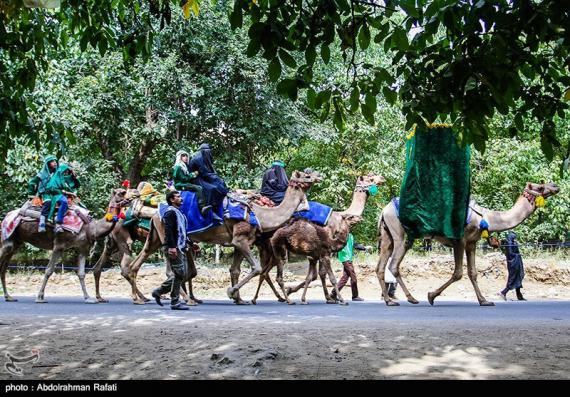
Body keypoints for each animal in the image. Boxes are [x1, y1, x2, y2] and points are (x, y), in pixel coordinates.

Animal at [0, 187, 131, 302]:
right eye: (121, 193)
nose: (131, 198)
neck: (91, 228)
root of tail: (5, 218)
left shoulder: (83, 248)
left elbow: (81, 273)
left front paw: (88, 298)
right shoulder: (59, 246)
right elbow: (49, 270)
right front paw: (40, 297)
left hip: (16, 243)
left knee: (4, 267)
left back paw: (9, 297)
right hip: (6, 240)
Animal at [123, 169, 320, 304]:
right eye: (305, 175)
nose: (318, 175)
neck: (260, 214)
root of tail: (157, 212)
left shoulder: (241, 241)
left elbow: (236, 270)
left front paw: (239, 299)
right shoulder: (241, 239)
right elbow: (256, 268)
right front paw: (231, 292)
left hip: (156, 235)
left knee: (137, 262)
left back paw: (141, 298)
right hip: (168, 235)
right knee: (170, 269)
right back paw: (186, 299)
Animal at [251, 173, 384, 304]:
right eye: (370, 178)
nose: (382, 178)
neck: (339, 217)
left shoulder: (318, 251)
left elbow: (317, 274)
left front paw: (328, 298)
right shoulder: (323, 247)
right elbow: (321, 273)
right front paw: (329, 298)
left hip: (269, 250)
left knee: (264, 272)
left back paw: (276, 297)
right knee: (267, 271)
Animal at [374, 181, 556, 304]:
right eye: (540, 187)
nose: (555, 186)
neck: (485, 217)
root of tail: (384, 210)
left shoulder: (471, 242)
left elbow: (473, 272)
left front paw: (484, 301)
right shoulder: (460, 240)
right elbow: (458, 273)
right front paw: (431, 296)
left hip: (388, 234)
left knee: (381, 265)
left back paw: (389, 301)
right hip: (401, 234)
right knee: (393, 265)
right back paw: (410, 298)